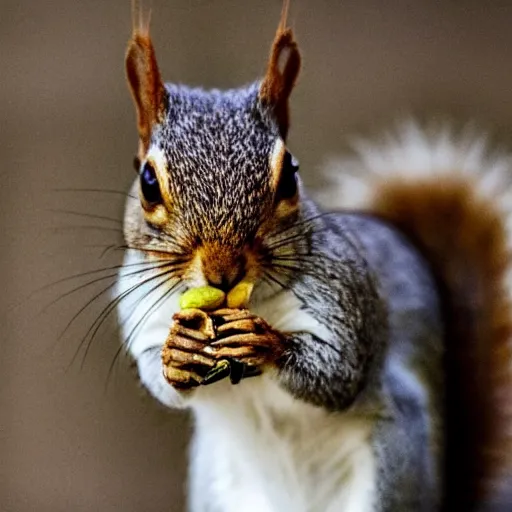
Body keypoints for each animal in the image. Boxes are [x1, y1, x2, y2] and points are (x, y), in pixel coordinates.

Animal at [115, 1, 512, 512]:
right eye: (148, 182)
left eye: (289, 177)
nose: (223, 271)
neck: (251, 300)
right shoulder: (140, 309)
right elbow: (156, 372)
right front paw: (178, 352)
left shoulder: (345, 297)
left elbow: (340, 373)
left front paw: (265, 342)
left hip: (391, 465)